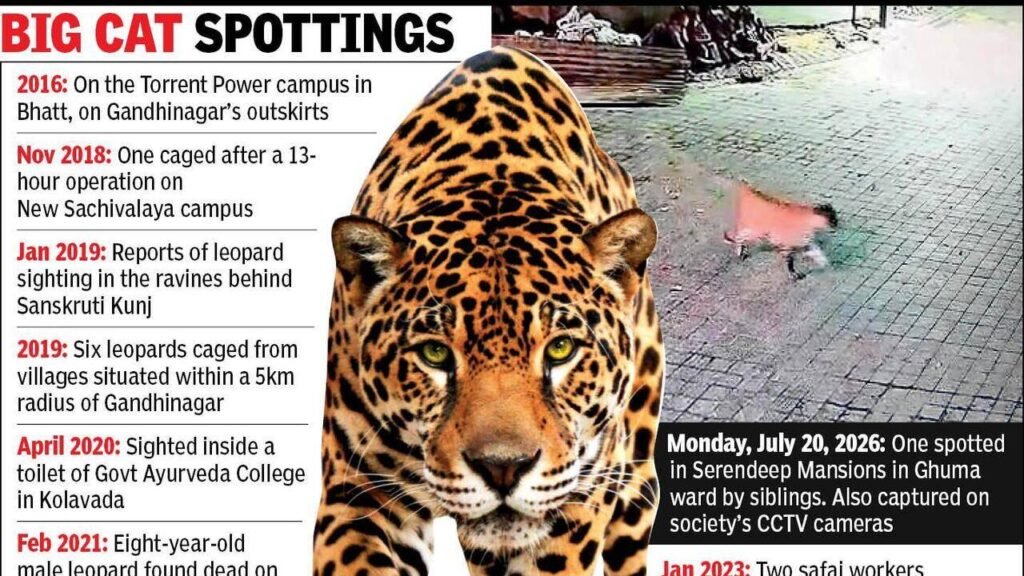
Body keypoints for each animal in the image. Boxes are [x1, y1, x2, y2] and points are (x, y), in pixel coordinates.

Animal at [314, 46, 664, 576]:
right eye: (435, 355)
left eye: (561, 349)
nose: (503, 468)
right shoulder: (355, 490)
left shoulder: (577, 497)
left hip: (633, 474)